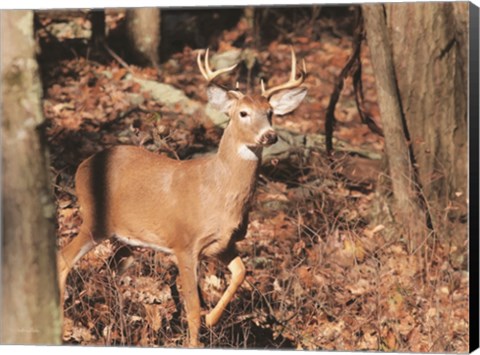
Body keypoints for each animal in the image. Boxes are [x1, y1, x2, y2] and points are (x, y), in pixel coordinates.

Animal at [58, 46, 308, 348]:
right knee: (63, 259)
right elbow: (192, 306)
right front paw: (195, 340)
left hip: (123, 238)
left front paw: (212, 319)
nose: (269, 136)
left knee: (111, 269)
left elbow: (241, 273)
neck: (220, 193)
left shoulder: (223, 244)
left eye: (270, 113)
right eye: (243, 113)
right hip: (95, 220)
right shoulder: (184, 243)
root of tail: (81, 167)